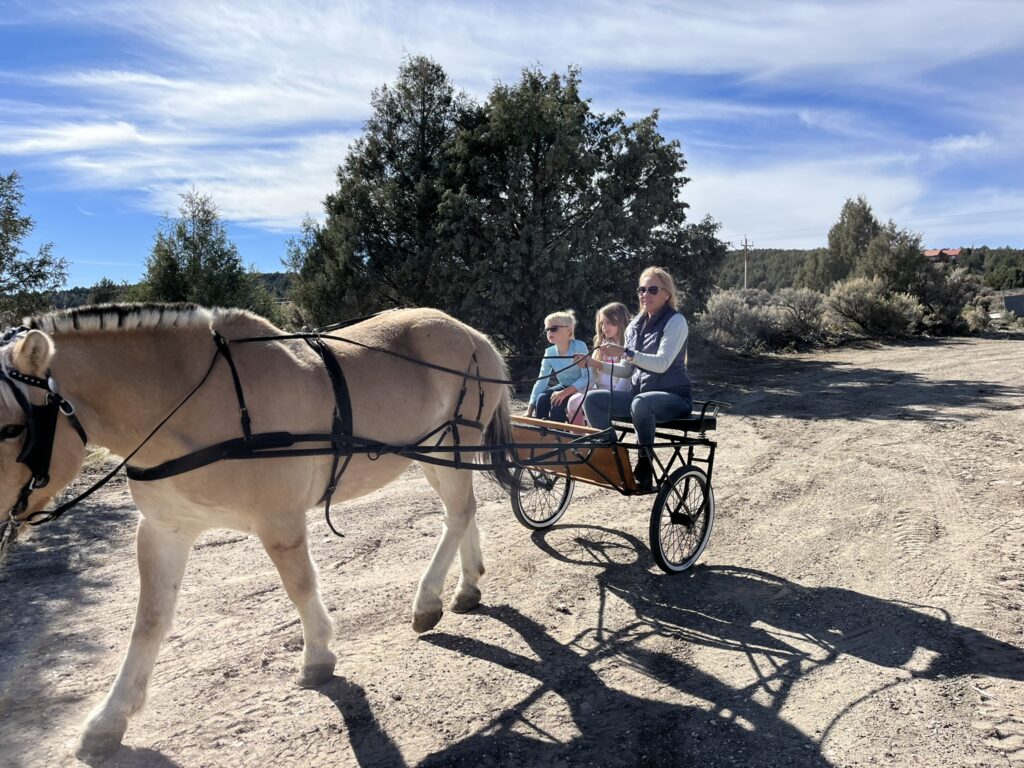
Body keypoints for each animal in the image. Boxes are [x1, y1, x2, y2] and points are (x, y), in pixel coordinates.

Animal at [0, 303, 512, 761]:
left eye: (9, 429)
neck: (192, 403)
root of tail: (473, 334)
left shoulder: (279, 521)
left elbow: (300, 586)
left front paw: (318, 657)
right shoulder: (163, 530)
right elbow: (148, 623)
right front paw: (109, 722)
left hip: (450, 447)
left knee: (458, 513)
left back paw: (428, 601)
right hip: (435, 455)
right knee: (462, 512)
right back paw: (466, 588)